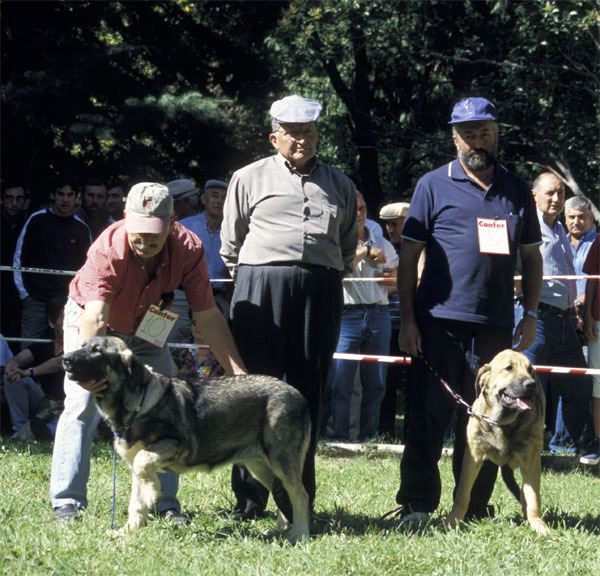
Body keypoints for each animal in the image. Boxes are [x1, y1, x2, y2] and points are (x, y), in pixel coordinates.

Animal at [63, 336, 312, 544]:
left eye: (97, 351)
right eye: (83, 345)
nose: (65, 359)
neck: (135, 402)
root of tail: (297, 393)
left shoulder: (176, 444)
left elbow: (144, 463)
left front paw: (152, 491)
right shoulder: (135, 467)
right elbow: (136, 501)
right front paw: (129, 530)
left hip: (281, 459)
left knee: (300, 495)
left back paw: (299, 534)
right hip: (260, 465)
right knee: (282, 491)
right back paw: (282, 529)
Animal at [450, 352, 548, 536]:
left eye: (530, 370)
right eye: (509, 368)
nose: (531, 384)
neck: (502, 422)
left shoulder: (531, 461)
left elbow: (533, 497)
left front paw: (539, 526)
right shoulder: (473, 456)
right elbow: (462, 493)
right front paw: (451, 522)